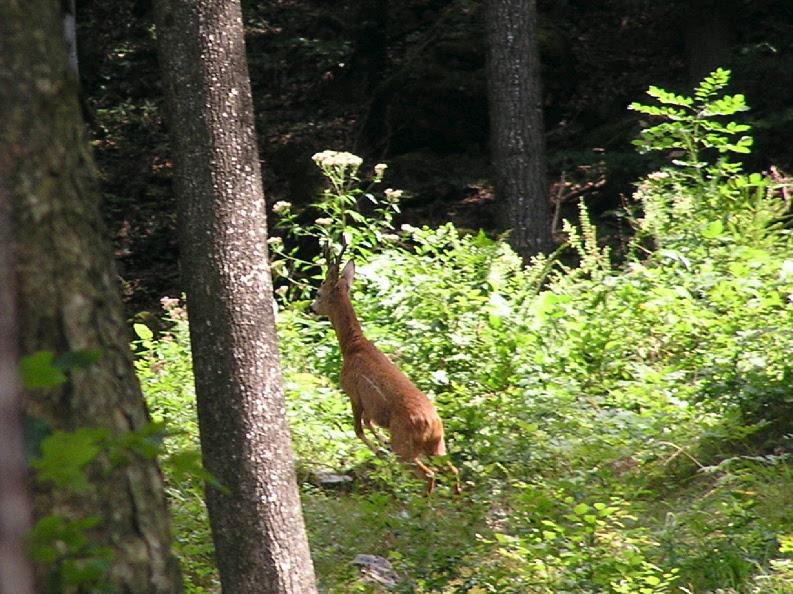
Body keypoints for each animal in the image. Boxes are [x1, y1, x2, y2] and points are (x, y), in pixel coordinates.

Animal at [310, 252, 458, 492]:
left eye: (318, 293)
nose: (311, 308)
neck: (353, 347)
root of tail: (433, 424)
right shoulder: (370, 406)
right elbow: (367, 423)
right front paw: (382, 445)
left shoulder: (353, 393)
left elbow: (358, 429)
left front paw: (379, 451)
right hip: (437, 445)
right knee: (452, 470)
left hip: (405, 444)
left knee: (429, 474)